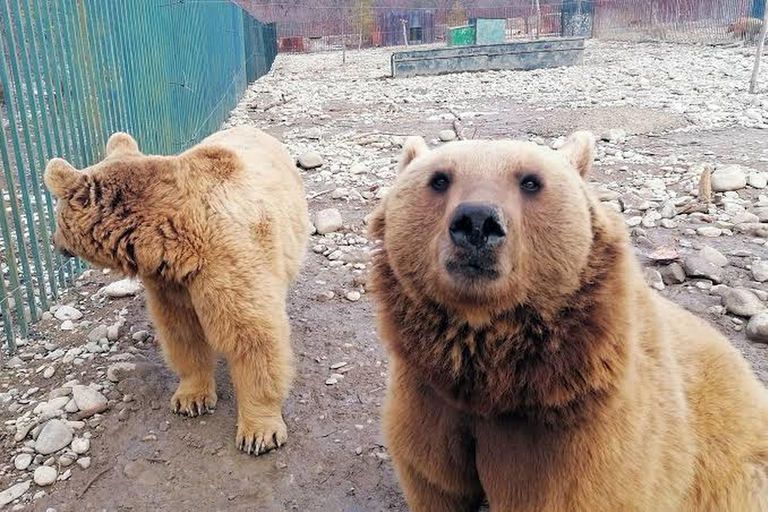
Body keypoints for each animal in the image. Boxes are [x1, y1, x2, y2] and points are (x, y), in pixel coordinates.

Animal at [44, 126, 310, 455]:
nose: (53, 241)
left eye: (56, 216)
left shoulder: (228, 259)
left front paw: (259, 431)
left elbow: (252, 337)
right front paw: (191, 398)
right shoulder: (170, 281)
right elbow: (183, 332)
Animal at [368, 132, 768, 511]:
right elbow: (436, 482)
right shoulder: (430, 400)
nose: (478, 222)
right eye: (439, 179)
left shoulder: (579, 435)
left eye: (531, 181)